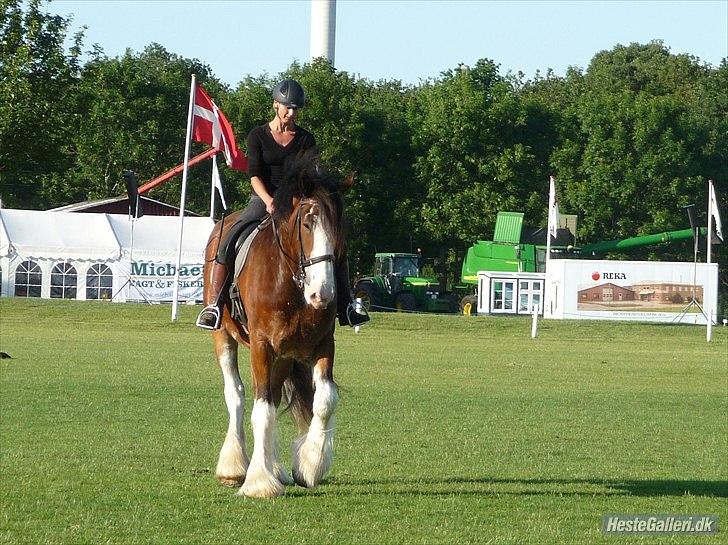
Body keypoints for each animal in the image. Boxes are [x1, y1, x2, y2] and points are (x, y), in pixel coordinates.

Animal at [203, 150, 352, 498]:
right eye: (308, 223)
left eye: (339, 230)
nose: (323, 293)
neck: (291, 283)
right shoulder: (261, 345)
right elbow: (261, 410)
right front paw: (259, 483)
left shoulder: (323, 344)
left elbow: (324, 400)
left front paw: (310, 465)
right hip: (224, 336)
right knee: (237, 395)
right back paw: (235, 467)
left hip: (284, 356)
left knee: (271, 394)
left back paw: (273, 467)